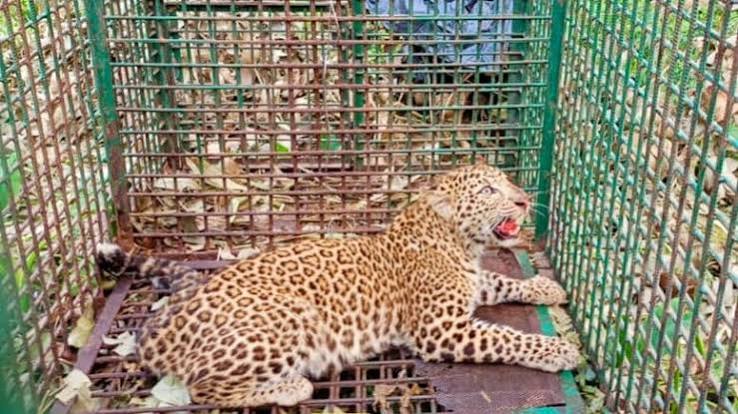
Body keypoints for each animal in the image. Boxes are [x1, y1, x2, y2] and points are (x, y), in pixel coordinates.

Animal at [96, 161, 580, 408]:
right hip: (286, 318)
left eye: (508, 182)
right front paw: (558, 350)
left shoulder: (470, 287)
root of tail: (171, 326)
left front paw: (545, 288)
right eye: (487, 191)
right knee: (203, 387)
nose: (524, 199)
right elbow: (507, 337)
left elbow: (498, 280)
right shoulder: (440, 329)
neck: (458, 242)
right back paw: (293, 387)